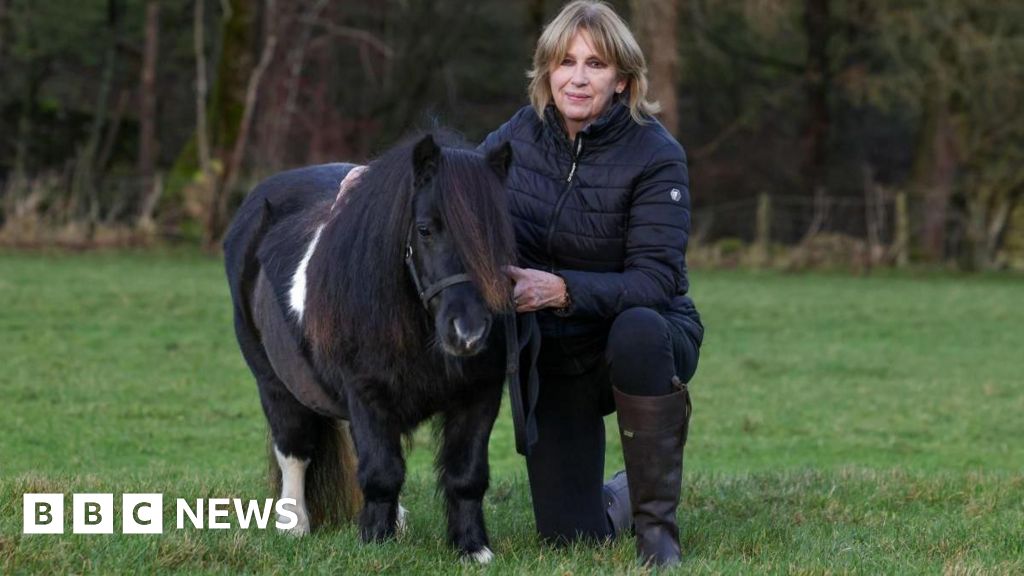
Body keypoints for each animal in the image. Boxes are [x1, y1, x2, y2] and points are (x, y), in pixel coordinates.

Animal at [223, 134, 517, 563]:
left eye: (499, 232)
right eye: (425, 230)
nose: (469, 331)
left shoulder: (480, 394)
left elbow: (467, 474)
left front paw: (472, 548)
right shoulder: (365, 393)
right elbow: (381, 472)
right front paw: (376, 542)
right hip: (274, 383)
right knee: (293, 449)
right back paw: (294, 525)